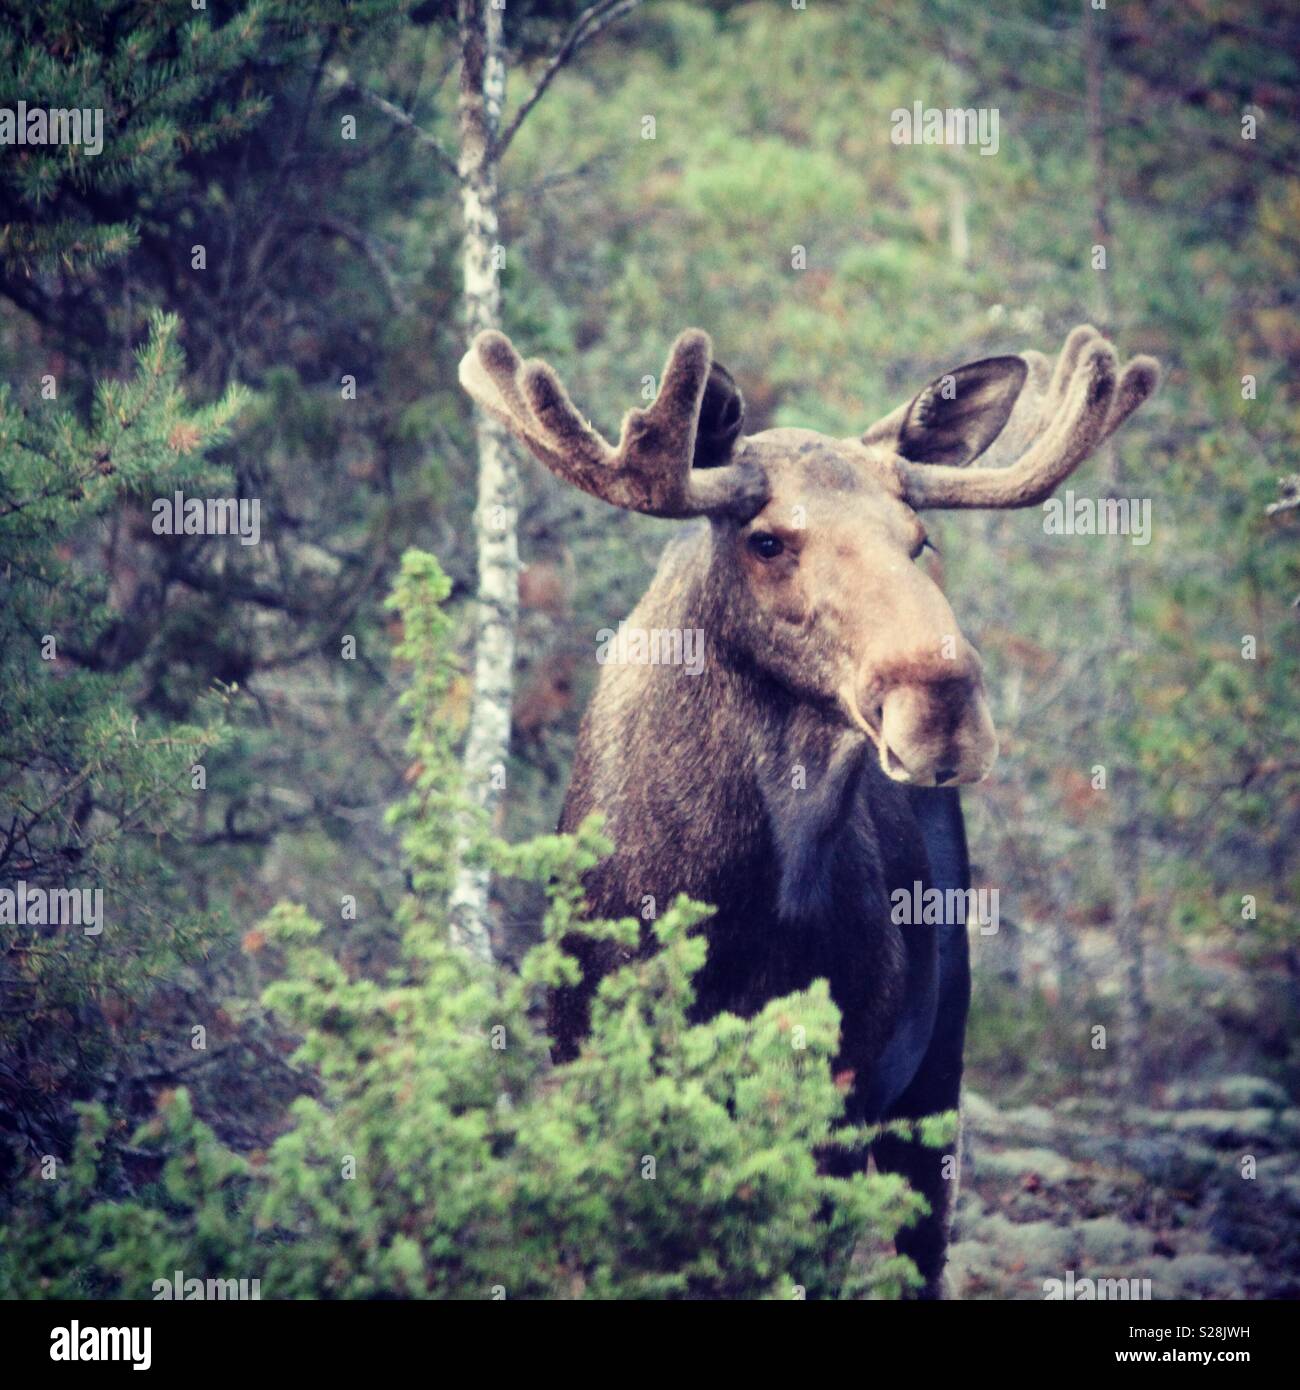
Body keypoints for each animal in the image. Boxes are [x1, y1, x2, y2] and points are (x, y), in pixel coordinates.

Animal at [458, 319, 1156, 1295]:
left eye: (919, 540)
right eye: (766, 541)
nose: (943, 704)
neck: (738, 914)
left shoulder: (837, 1103)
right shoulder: (592, 1077)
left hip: (937, 1076)